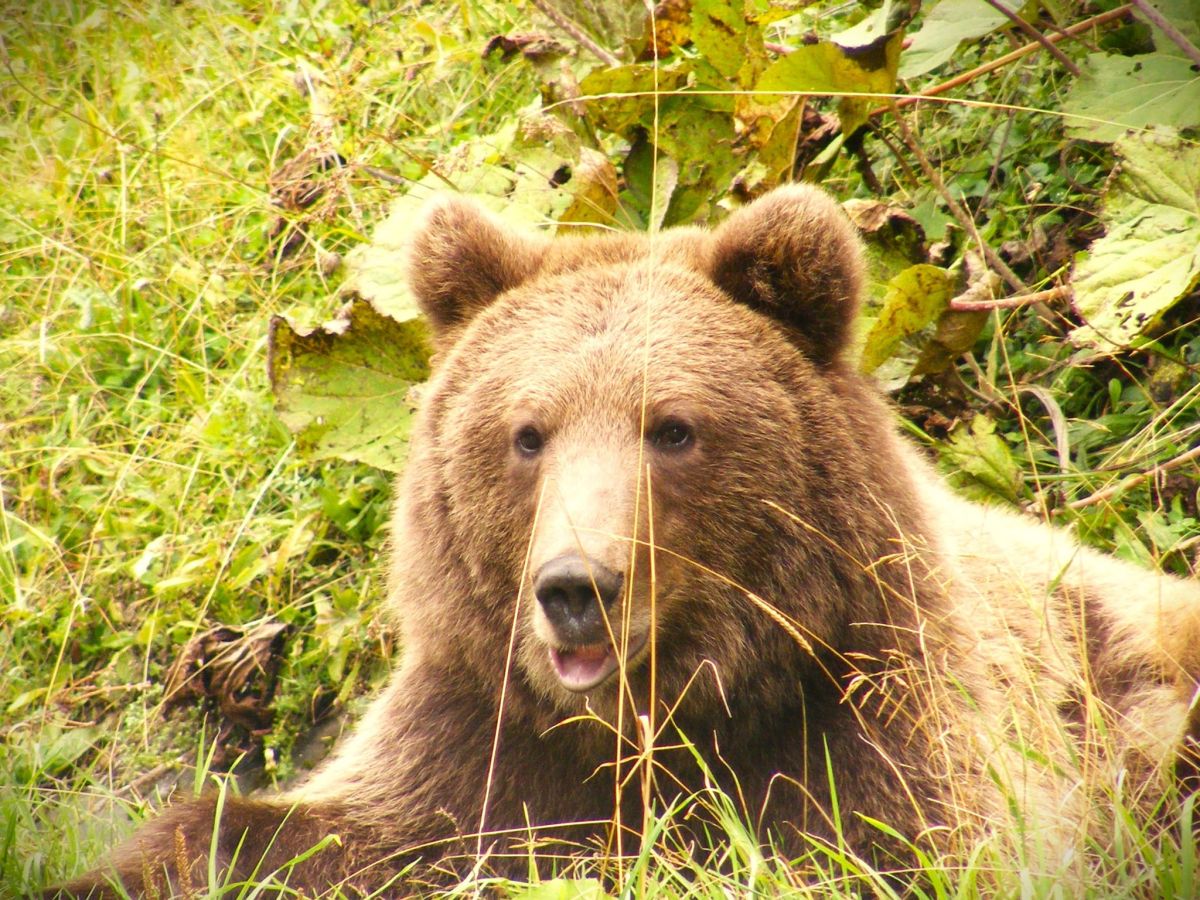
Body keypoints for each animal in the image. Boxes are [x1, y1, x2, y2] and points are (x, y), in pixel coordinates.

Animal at [51, 187, 1200, 897]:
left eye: (674, 428)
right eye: (527, 433)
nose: (575, 586)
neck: (662, 716)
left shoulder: (885, 730)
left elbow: (889, 846)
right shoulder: (487, 741)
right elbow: (278, 833)